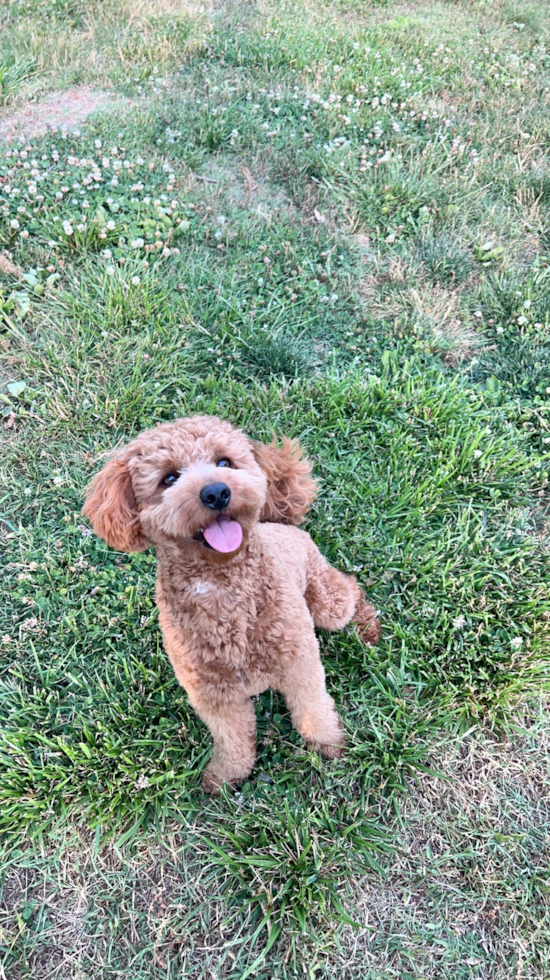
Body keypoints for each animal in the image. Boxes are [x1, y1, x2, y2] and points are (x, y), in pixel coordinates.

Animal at [82, 418, 382, 792]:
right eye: (169, 478)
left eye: (224, 462)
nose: (216, 493)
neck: (222, 585)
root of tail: (279, 523)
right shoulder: (212, 695)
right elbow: (232, 739)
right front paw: (226, 777)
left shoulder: (300, 665)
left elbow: (313, 710)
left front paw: (328, 745)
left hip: (327, 604)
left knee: (350, 589)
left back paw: (369, 628)